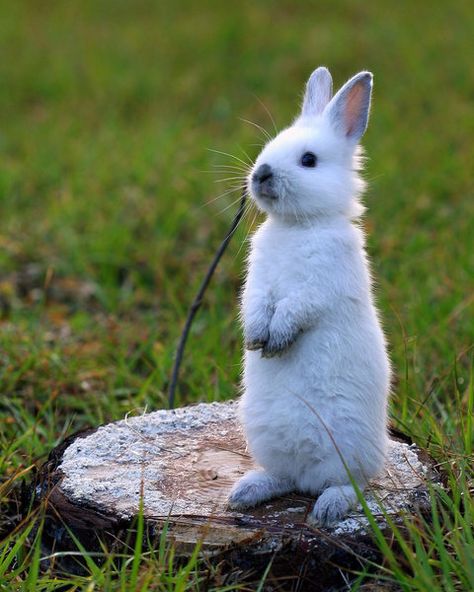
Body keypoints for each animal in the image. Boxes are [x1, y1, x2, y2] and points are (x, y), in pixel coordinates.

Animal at [228, 67, 390, 524]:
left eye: (309, 160)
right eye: (269, 147)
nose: (261, 174)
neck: (298, 226)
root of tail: (307, 475)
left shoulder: (319, 286)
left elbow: (296, 308)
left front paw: (276, 339)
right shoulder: (258, 283)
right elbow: (256, 306)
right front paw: (255, 339)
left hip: (350, 449)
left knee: (354, 486)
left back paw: (326, 508)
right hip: (264, 437)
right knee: (283, 478)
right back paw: (245, 492)